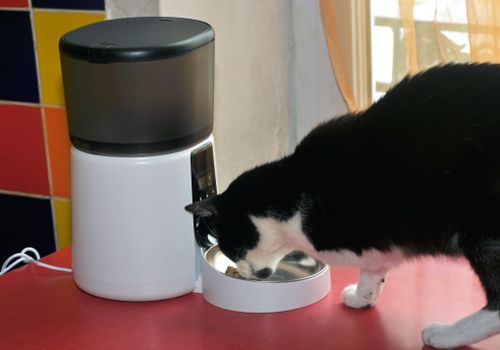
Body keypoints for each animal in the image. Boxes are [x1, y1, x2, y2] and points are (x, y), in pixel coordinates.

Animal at [185, 63, 500, 348]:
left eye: (231, 247)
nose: (244, 273)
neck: (294, 192)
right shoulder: (379, 239)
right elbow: (372, 270)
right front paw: (362, 296)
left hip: (482, 227)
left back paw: (445, 334)